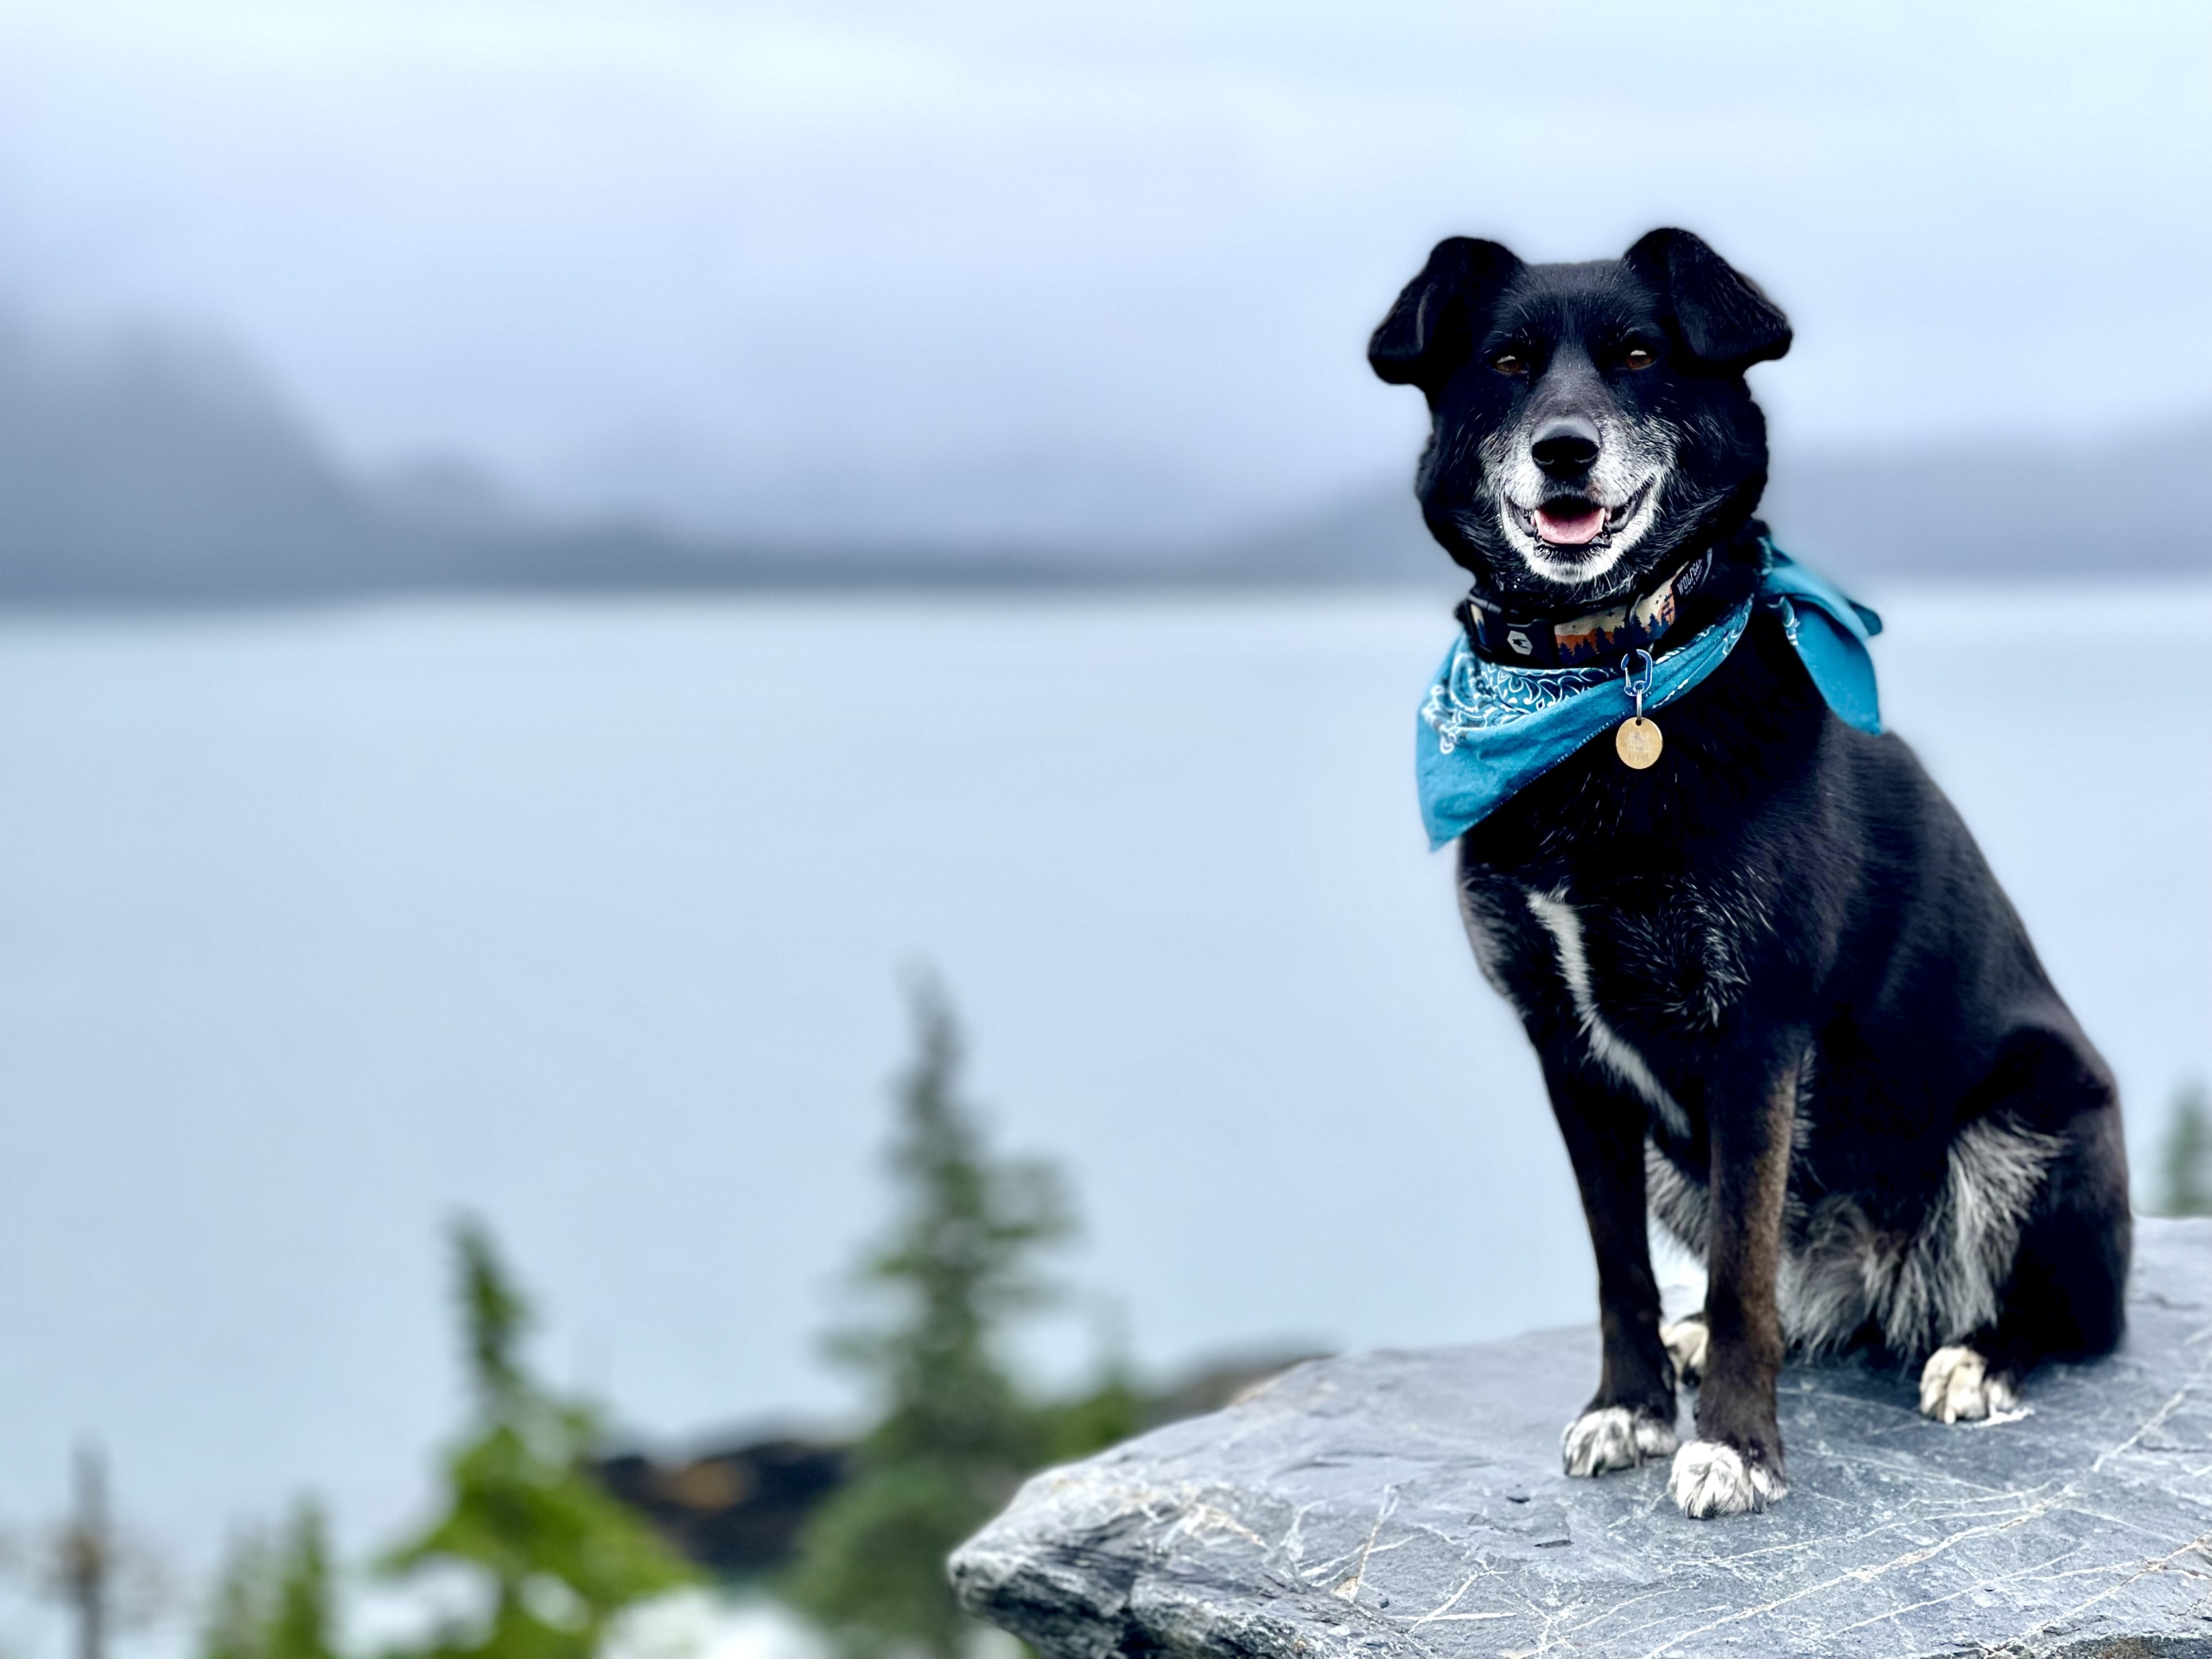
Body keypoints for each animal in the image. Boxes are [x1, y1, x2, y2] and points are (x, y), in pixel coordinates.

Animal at [1362, 231, 2123, 1522]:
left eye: (1637, 356)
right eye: (1507, 362)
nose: (1564, 448)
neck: (1612, 672)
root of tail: (1881, 1288)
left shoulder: (1755, 1032)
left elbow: (1739, 1269)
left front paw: (1735, 1446)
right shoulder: (1564, 1045)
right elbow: (1619, 1262)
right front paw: (1627, 1403)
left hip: (2034, 1118)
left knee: (2071, 1315)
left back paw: (1977, 1357)